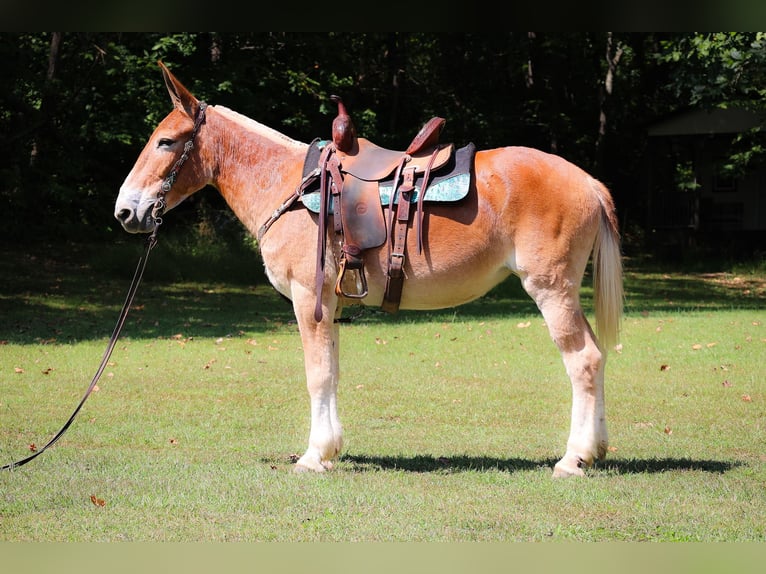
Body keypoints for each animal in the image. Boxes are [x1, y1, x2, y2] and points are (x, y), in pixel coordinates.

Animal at [115, 61, 623, 478]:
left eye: (165, 141)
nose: (125, 211)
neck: (290, 184)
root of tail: (587, 182)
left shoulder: (309, 299)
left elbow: (317, 374)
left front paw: (314, 456)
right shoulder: (330, 304)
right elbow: (332, 371)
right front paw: (330, 450)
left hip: (551, 289)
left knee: (583, 360)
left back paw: (573, 459)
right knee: (597, 357)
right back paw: (595, 450)